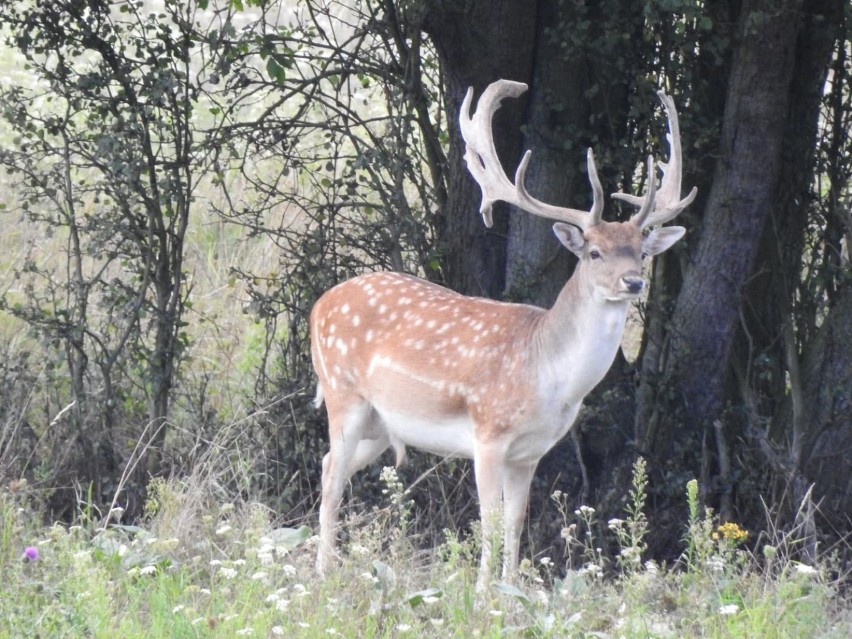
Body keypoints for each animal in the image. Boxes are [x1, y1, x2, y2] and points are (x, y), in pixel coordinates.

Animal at [310, 80, 696, 592]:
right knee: (332, 475)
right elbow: (489, 521)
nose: (633, 283)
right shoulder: (488, 434)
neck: (547, 376)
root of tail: (319, 304)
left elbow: (515, 521)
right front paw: (480, 594)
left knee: (327, 465)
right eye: (594, 252)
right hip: (343, 393)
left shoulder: (531, 453)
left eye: (641, 252)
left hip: (380, 424)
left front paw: (510, 592)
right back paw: (324, 573)